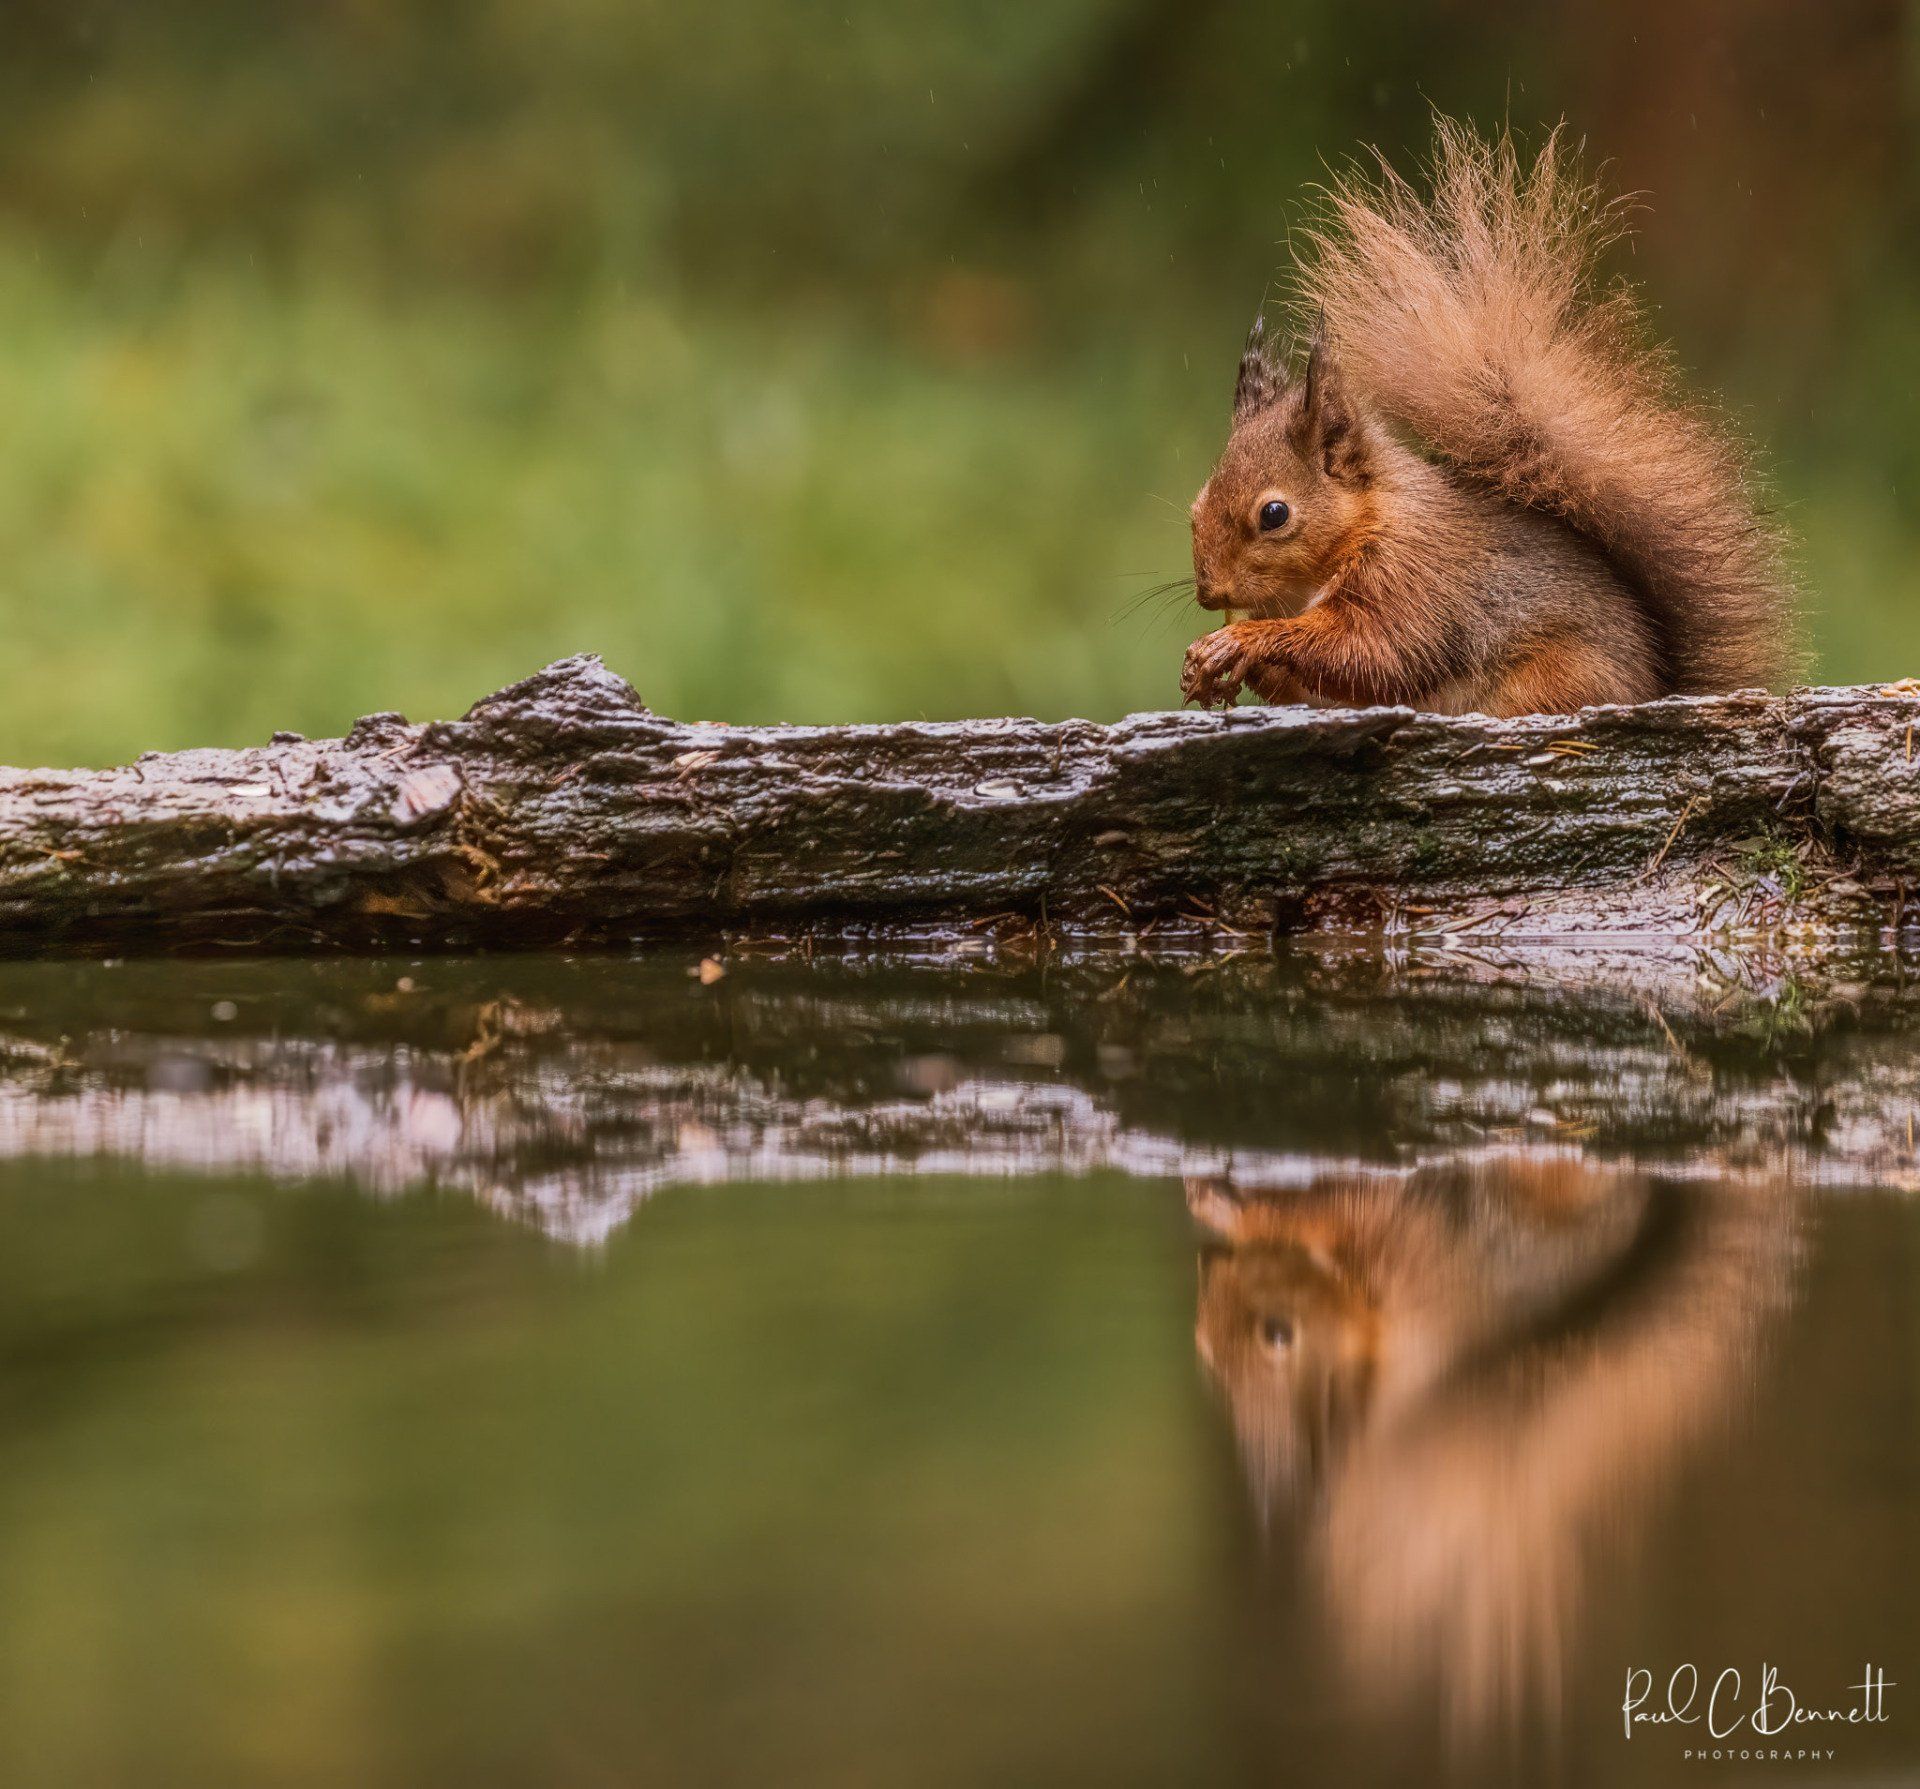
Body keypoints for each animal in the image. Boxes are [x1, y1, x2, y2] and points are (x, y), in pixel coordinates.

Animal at [1181, 120, 1794, 717]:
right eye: (1195, 508)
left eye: (1275, 514)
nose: (1210, 593)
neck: (1370, 524)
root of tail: (1659, 687)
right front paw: (1215, 662)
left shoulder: (1415, 582)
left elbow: (1376, 653)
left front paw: (1246, 640)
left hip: (1552, 680)